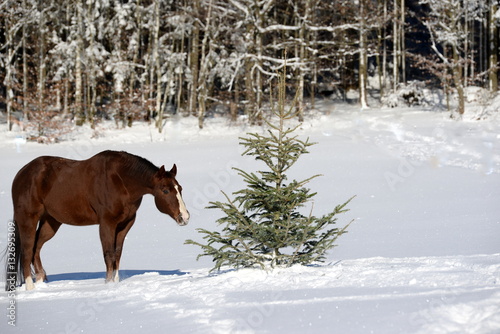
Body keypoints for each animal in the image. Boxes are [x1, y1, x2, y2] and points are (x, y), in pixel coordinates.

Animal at [5, 150, 189, 290]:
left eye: (179, 188)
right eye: (165, 190)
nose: (185, 217)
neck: (121, 181)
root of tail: (21, 174)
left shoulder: (125, 224)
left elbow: (117, 253)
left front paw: (115, 282)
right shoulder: (107, 223)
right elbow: (108, 254)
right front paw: (108, 283)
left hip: (51, 222)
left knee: (36, 247)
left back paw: (41, 280)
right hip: (28, 219)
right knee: (27, 250)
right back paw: (31, 287)